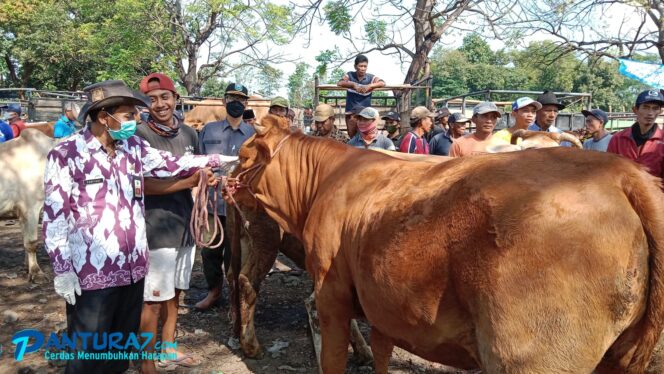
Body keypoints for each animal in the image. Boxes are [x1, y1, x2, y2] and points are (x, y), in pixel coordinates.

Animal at [0, 129, 56, 280]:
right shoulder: (31, 206)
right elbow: (31, 243)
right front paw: (36, 272)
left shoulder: (20, 211)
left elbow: (25, 239)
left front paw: (27, 268)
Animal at [228, 115, 664, 372]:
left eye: (246, 154)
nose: (227, 176)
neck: (329, 177)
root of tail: (621, 173)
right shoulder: (382, 301)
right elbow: (382, 351)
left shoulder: (331, 288)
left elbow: (334, 353)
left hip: (530, 354)